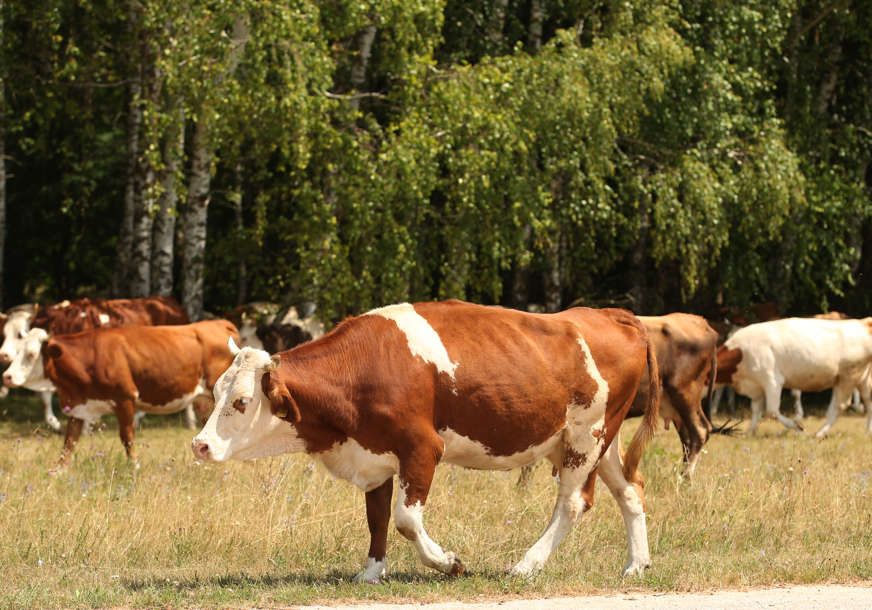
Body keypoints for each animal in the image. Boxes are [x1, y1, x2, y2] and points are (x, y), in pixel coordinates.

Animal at [0, 296, 190, 430]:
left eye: (20, 334)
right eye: (4, 333)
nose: (3, 354)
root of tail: (171, 303)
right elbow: (45, 397)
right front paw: (55, 423)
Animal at [2, 316, 238, 464]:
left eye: (31, 354)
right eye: (17, 351)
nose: (7, 376)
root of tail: (220, 323)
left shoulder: (124, 399)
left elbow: (127, 438)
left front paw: (134, 467)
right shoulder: (79, 409)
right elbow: (69, 443)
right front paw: (57, 472)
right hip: (202, 400)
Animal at [189, 300, 656, 580]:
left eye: (242, 401)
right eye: (216, 391)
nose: (201, 444)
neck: (365, 366)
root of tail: (609, 313)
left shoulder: (422, 449)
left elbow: (405, 519)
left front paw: (447, 563)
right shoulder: (373, 454)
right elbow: (377, 518)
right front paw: (371, 573)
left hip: (586, 435)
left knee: (573, 502)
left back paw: (527, 564)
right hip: (603, 439)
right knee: (631, 490)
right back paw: (637, 563)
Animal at [716, 316, 872, 434]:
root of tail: (862, 323)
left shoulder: (772, 380)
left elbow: (772, 411)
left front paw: (797, 426)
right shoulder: (755, 386)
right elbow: (756, 410)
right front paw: (749, 432)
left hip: (849, 375)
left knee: (841, 405)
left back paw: (820, 433)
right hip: (862, 377)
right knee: (868, 399)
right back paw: (868, 432)